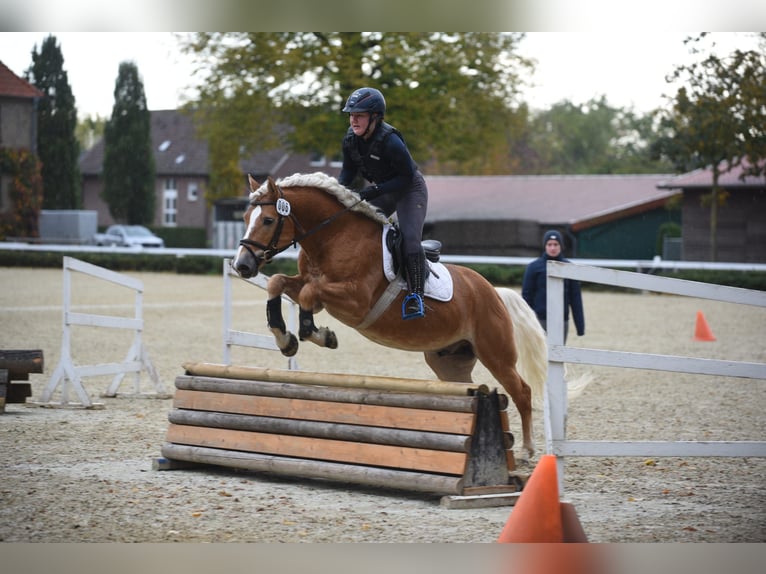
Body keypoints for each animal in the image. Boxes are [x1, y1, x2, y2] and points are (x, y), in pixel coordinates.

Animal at [234, 171, 552, 464]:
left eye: (268, 220)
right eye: (246, 216)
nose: (242, 265)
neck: (333, 236)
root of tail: (493, 292)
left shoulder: (355, 300)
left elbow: (310, 294)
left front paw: (320, 335)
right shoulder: (310, 287)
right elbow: (278, 283)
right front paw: (285, 339)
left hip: (495, 353)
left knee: (522, 391)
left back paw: (527, 451)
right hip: (449, 360)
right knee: (469, 387)